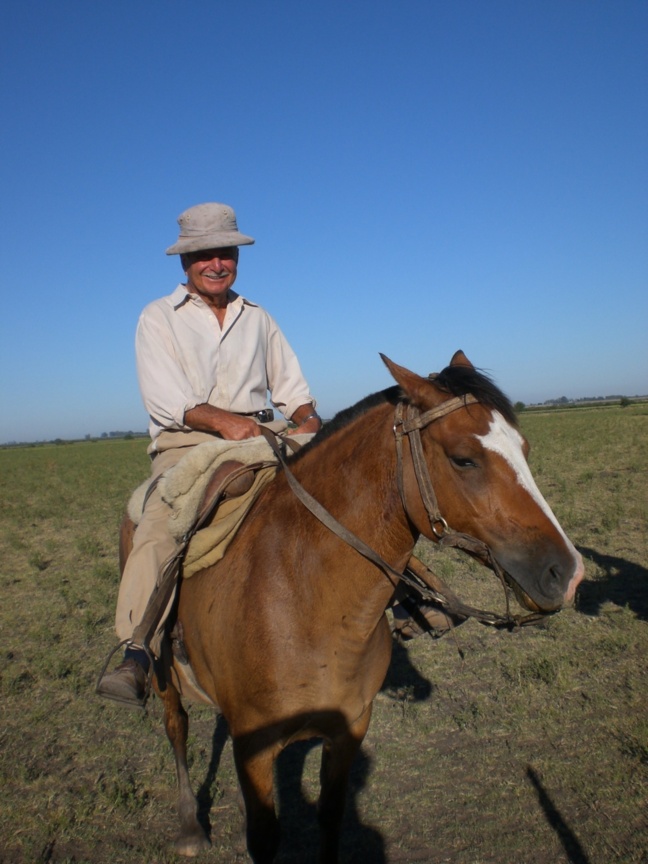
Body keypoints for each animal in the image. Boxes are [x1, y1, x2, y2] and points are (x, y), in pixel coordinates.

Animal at [119, 348, 584, 860]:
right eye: (464, 459)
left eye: (524, 448)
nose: (568, 573)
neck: (302, 598)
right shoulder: (252, 750)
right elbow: (263, 837)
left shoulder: (349, 728)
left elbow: (331, 815)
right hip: (162, 670)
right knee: (175, 725)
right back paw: (187, 826)